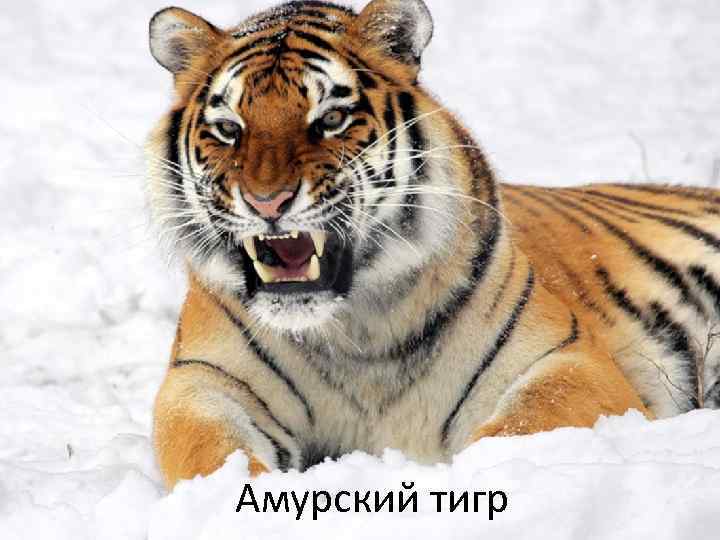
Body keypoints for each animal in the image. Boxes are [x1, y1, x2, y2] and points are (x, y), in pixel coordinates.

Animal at [145, 0, 720, 489]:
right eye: (229, 128)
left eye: (331, 119)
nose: (267, 202)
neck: (355, 333)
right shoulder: (201, 382)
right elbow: (211, 453)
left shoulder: (567, 359)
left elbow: (519, 427)